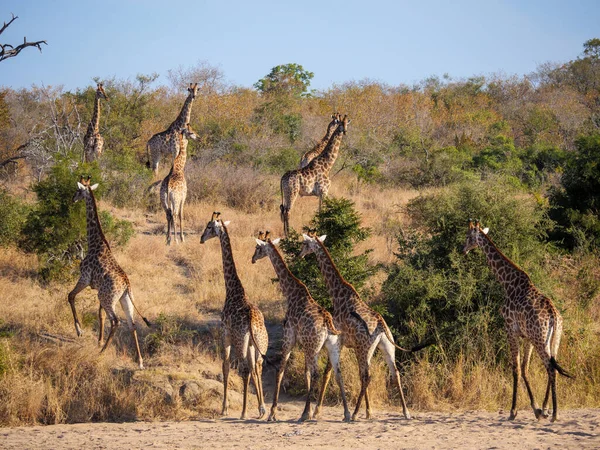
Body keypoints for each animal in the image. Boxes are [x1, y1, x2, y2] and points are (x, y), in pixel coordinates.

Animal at [67, 176, 150, 370]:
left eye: (78, 190)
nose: (72, 199)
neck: (95, 242)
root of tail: (127, 284)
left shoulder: (85, 278)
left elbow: (70, 296)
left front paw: (80, 331)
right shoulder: (98, 289)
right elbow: (100, 315)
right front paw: (98, 341)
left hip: (108, 298)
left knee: (116, 321)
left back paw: (103, 352)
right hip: (124, 299)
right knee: (131, 324)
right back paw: (140, 361)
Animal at [200, 213, 268, 420]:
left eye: (208, 227)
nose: (201, 238)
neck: (232, 289)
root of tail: (252, 321)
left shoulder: (226, 333)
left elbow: (225, 365)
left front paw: (224, 408)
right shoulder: (250, 343)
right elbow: (251, 369)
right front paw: (260, 407)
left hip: (241, 340)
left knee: (245, 368)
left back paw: (245, 412)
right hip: (259, 343)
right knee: (257, 367)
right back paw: (262, 409)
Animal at [252, 230, 352, 424]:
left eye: (258, 248)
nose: (252, 259)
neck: (290, 292)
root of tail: (328, 323)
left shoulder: (289, 338)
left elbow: (281, 371)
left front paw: (272, 413)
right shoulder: (303, 344)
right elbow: (305, 373)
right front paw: (309, 410)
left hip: (314, 347)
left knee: (316, 373)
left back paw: (305, 414)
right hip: (330, 346)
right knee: (337, 372)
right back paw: (346, 413)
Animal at [300, 232, 412, 422]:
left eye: (305, 244)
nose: (300, 254)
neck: (337, 295)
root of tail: (381, 325)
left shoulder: (339, 342)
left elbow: (328, 373)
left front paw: (317, 411)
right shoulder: (350, 346)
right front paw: (369, 411)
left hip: (365, 349)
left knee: (368, 376)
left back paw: (354, 413)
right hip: (385, 346)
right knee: (394, 372)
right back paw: (405, 412)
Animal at [462, 220, 576, 420]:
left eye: (468, 236)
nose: (463, 250)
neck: (507, 283)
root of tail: (554, 316)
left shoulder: (510, 329)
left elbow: (515, 367)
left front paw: (513, 411)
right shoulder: (527, 337)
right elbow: (525, 368)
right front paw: (537, 409)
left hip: (540, 340)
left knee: (550, 367)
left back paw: (554, 413)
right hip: (553, 339)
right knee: (553, 364)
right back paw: (547, 409)